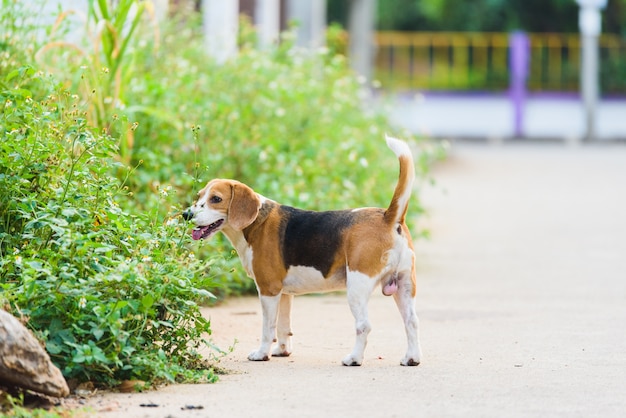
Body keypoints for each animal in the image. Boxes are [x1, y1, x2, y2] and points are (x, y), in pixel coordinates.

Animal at [183, 136, 422, 366]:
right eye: (199, 196)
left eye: (216, 199)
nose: (186, 214)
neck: (256, 221)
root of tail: (388, 216)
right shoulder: (284, 293)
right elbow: (283, 326)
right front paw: (282, 351)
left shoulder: (268, 290)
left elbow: (268, 328)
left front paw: (262, 354)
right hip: (404, 286)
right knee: (411, 322)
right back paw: (411, 358)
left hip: (357, 286)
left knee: (364, 325)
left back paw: (354, 359)